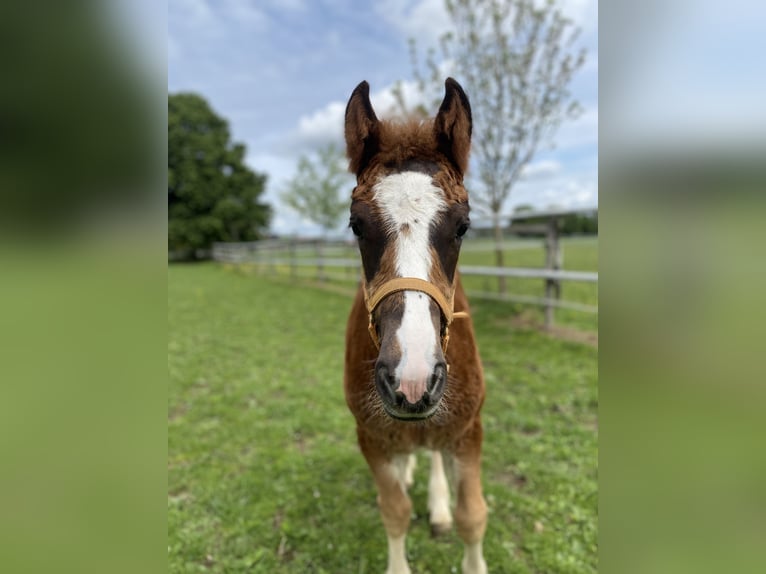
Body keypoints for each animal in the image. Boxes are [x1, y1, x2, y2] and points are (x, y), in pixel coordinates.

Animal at [343, 78, 488, 574]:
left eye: (463, 226)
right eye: (356, 225)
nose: (411, 378)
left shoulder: (467, 431)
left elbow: (472, 516)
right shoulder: (370, 438)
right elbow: (394, 511)